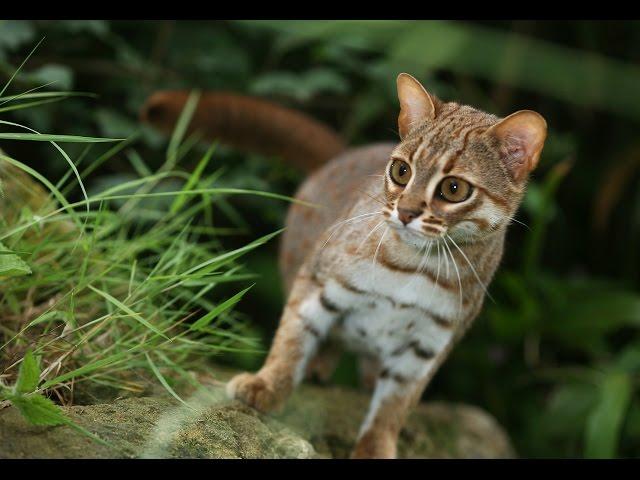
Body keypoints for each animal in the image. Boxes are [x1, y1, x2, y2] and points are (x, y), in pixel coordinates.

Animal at [144, 74, 544, 458]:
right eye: (401, 171)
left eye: (454, 188)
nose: (405, 212)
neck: (415, 266)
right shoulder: (317, 282)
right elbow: (291, 340)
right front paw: (268, 384)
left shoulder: (431, 341)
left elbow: (395, 405)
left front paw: (377, 445)